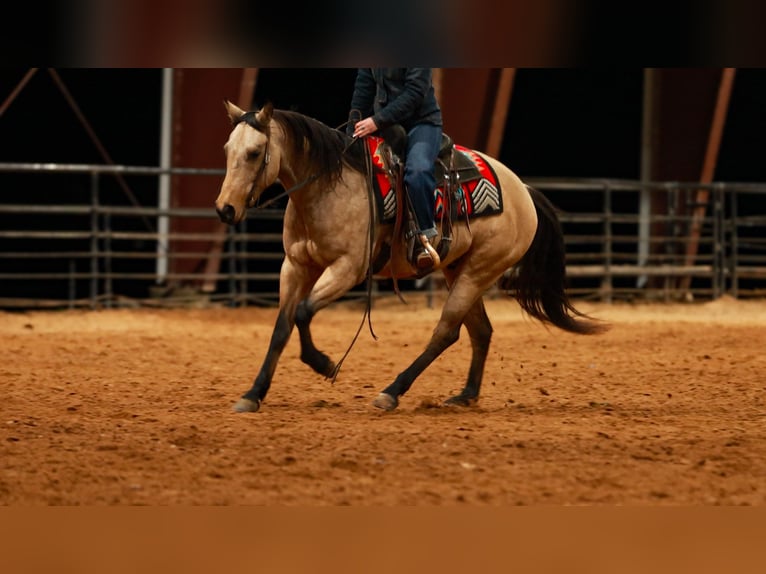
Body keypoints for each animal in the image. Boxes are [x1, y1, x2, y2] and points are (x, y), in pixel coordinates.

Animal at [215, 100, 607, 413]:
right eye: (227, 149)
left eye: (254, 152)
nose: (225, 209)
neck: (328, 186)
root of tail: (522, 190)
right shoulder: (295, 266)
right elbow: (282, 327)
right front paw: (253, 394)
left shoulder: (347, 269)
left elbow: (303, 312)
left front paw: (324, 363)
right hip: (458, 269)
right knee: (480, 331)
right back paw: (465, 395)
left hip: (479, 271)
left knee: (446, 332)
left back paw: (392, 391)